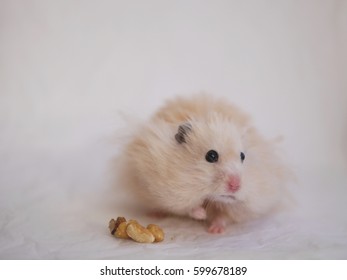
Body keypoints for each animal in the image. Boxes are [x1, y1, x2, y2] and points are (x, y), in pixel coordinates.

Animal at [119, 94, 290, 234]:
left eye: (243, 156)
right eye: (211, 155)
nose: (236, 186)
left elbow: (225, 214)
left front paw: (215, 230)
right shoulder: (172, 192)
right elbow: (187, 207)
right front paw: (202, 215)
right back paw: (156, 214)